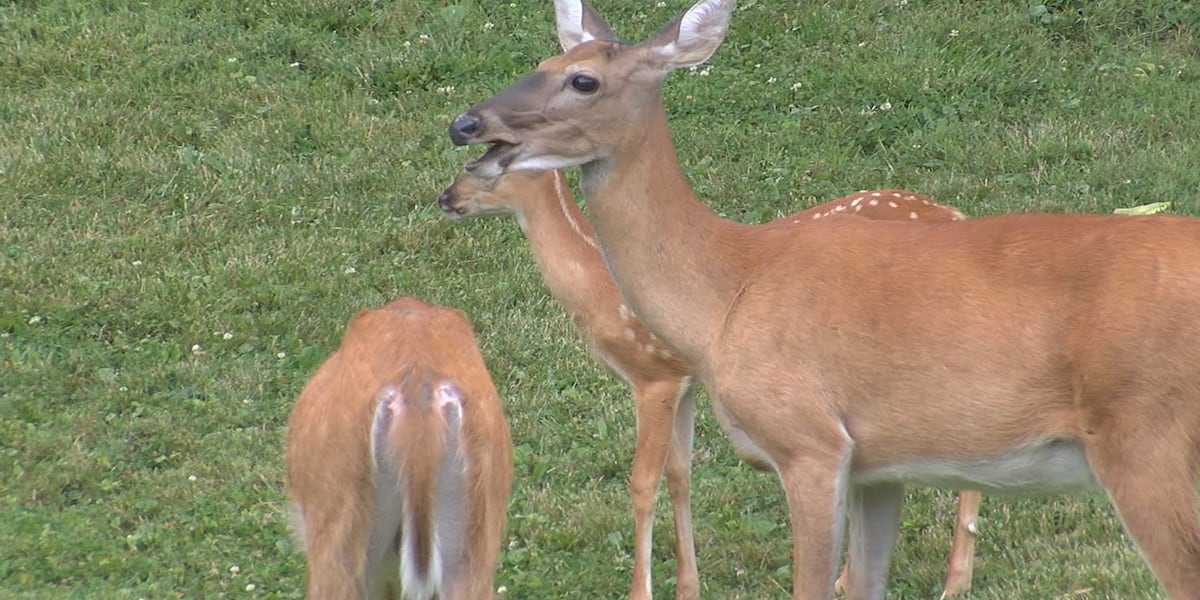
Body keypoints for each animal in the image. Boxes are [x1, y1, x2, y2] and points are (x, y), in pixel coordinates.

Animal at [437, 168, 980, 598]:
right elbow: (681, 477)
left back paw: (954, 583)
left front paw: (640, 592)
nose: (446, 195)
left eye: (488, 160)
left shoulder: (653, 375)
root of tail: (955, 214)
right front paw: (687, 587)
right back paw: (857, 576)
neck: (597, 282)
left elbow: (642, 483)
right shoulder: (685, 383)